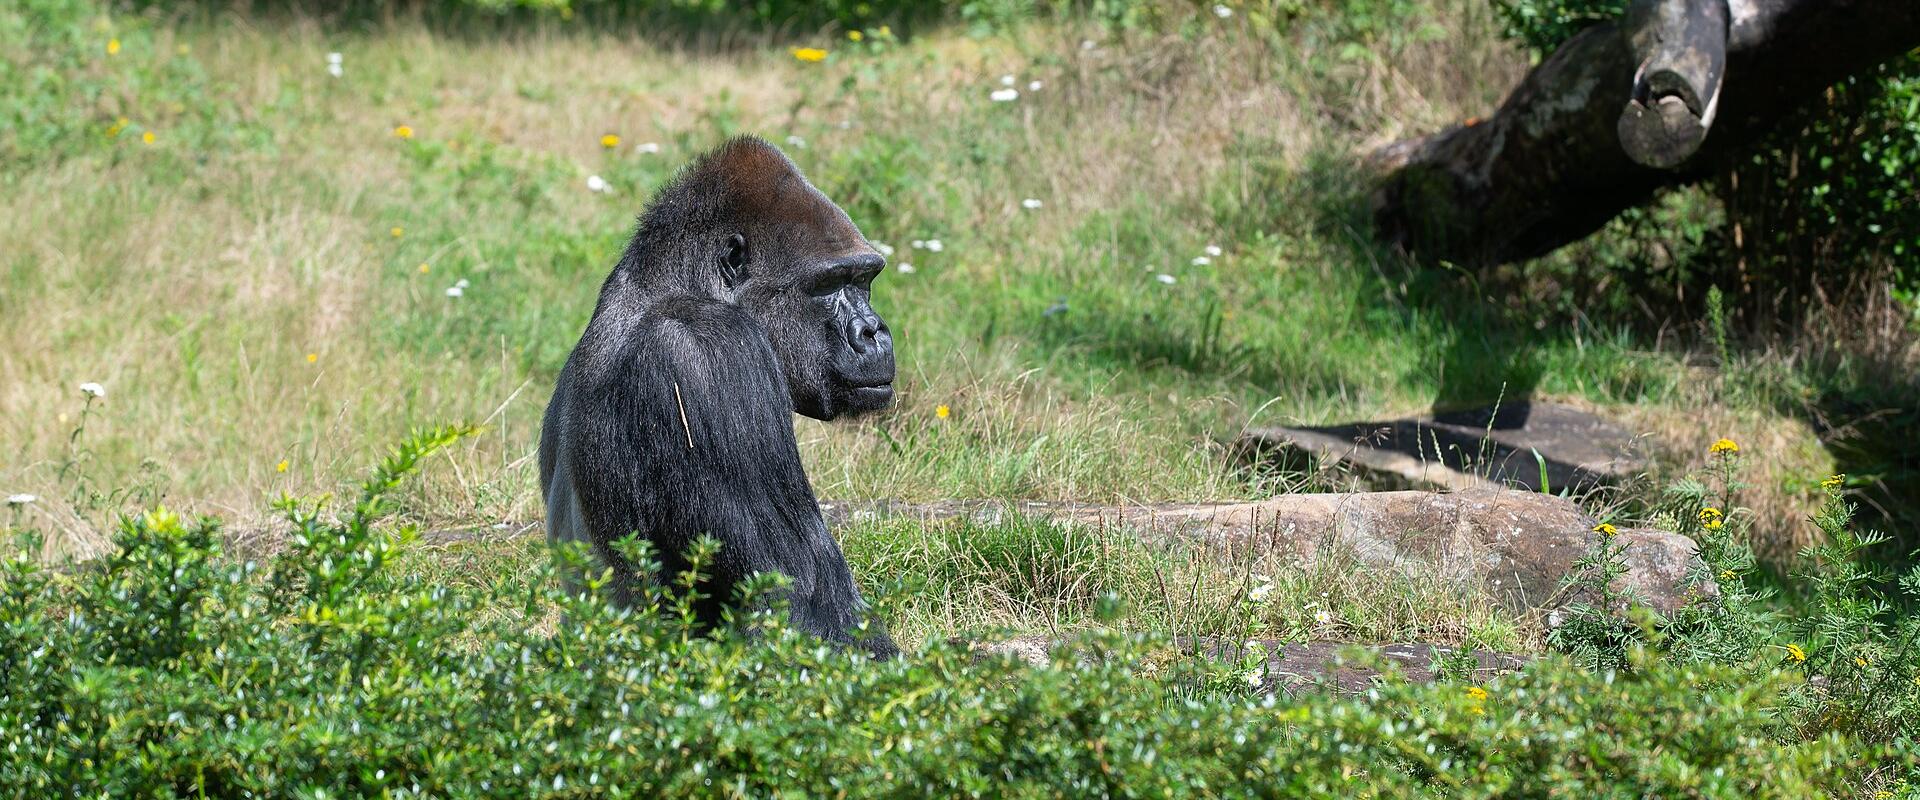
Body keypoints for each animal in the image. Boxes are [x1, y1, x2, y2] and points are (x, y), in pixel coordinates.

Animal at [538, 136, 898, 658]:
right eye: (829, 283)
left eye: (865, 279)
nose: (873, 331)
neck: (667, 286)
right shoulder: (712, 354)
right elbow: (800, 603)